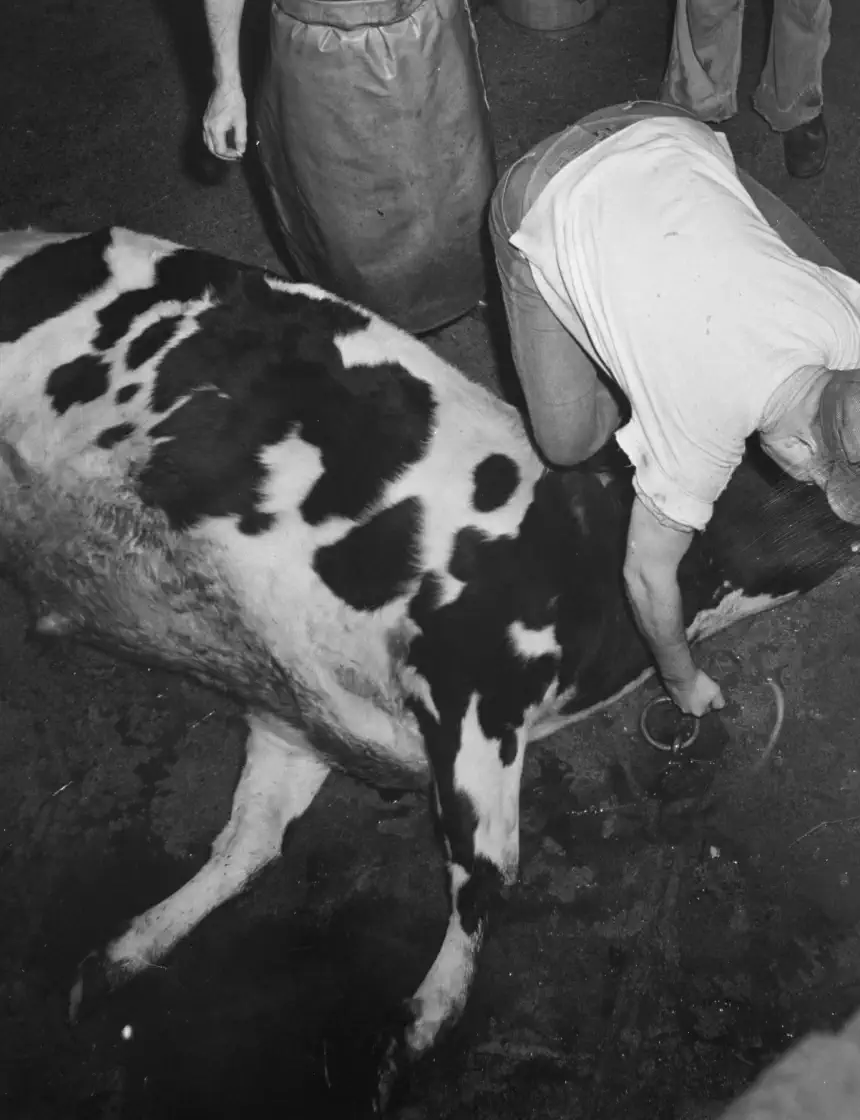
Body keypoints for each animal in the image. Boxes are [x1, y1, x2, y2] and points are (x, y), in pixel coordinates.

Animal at [0, 227, 855, 1111]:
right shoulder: (451, 693)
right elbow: (475, 864)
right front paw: (416, 1030)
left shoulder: (324, 707)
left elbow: (271, 841)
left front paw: (124, 956)